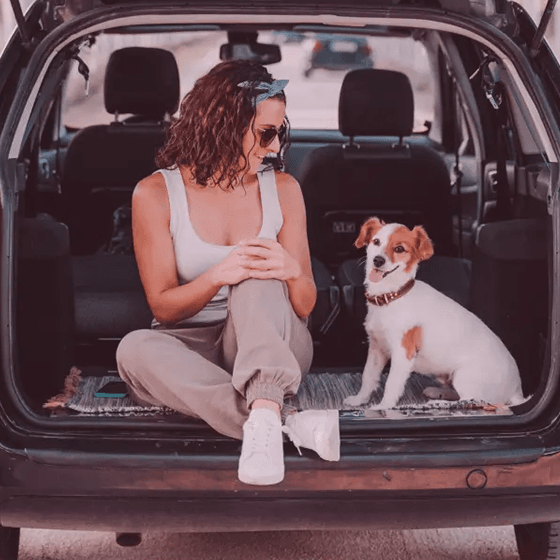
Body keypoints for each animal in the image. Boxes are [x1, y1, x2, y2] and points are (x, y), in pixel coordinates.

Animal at [344, 219, 528, 412]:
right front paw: (359, 400)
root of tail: (516, 390)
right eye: (376, 241)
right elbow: (368, 376)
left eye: (399, 249)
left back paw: (439, 403)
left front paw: (383, 407)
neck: (392, 297)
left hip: (464, 375)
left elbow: (392, 384)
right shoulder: (376, 348)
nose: (377, 260)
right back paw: (437, 392)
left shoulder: (403, 353)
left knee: (472, 400)